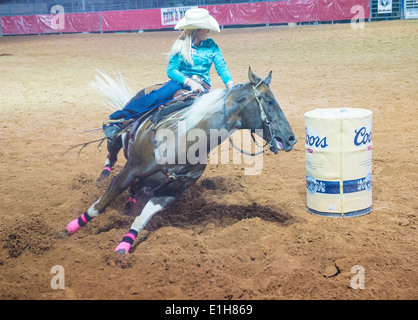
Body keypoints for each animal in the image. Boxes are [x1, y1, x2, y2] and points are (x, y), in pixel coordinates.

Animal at [66, 69, 298, 254]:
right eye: (269, 102)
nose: (291, 138)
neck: (182, 140)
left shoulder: (170, 193)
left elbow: (141, 219)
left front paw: (123, 246)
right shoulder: (130, 171)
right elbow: (100, 206)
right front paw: (69, 229)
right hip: (119, 135)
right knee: (112, 150)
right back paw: (104, 172)